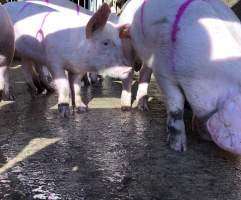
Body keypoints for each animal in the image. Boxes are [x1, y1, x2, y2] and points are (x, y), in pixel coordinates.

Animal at [116, 0, 241, 155]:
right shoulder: (163, 72)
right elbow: (176, 106)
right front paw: (179, 148)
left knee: (144, 72)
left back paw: (144, 108)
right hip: (126, 42)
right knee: (128, 72)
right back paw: (126, 107)